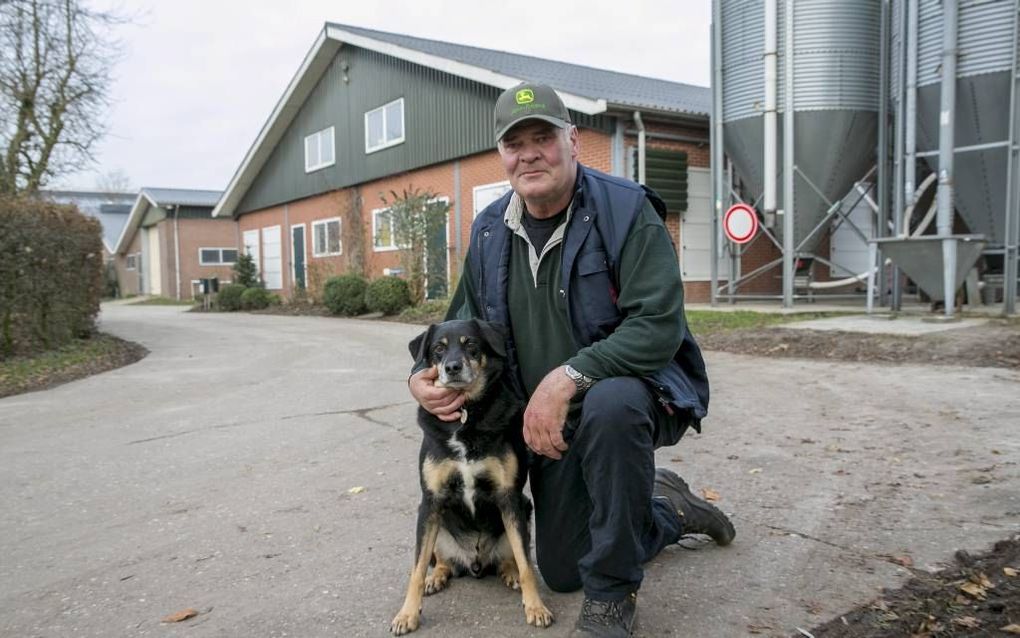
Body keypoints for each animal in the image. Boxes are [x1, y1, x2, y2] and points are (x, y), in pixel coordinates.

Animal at [389, 318, 554, 632]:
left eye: (471, 345)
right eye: (438, 349)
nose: (452, 367)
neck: (466, 412)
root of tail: (475, 561)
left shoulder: (510, 498)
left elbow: (527, 565)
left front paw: (536, 607)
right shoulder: (431, 502)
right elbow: (416, 568)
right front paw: (406, 614)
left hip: (523, 512)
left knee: (513, 557)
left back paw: (510, 573)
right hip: (437, 524)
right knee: (440, 561)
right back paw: (436, 577)